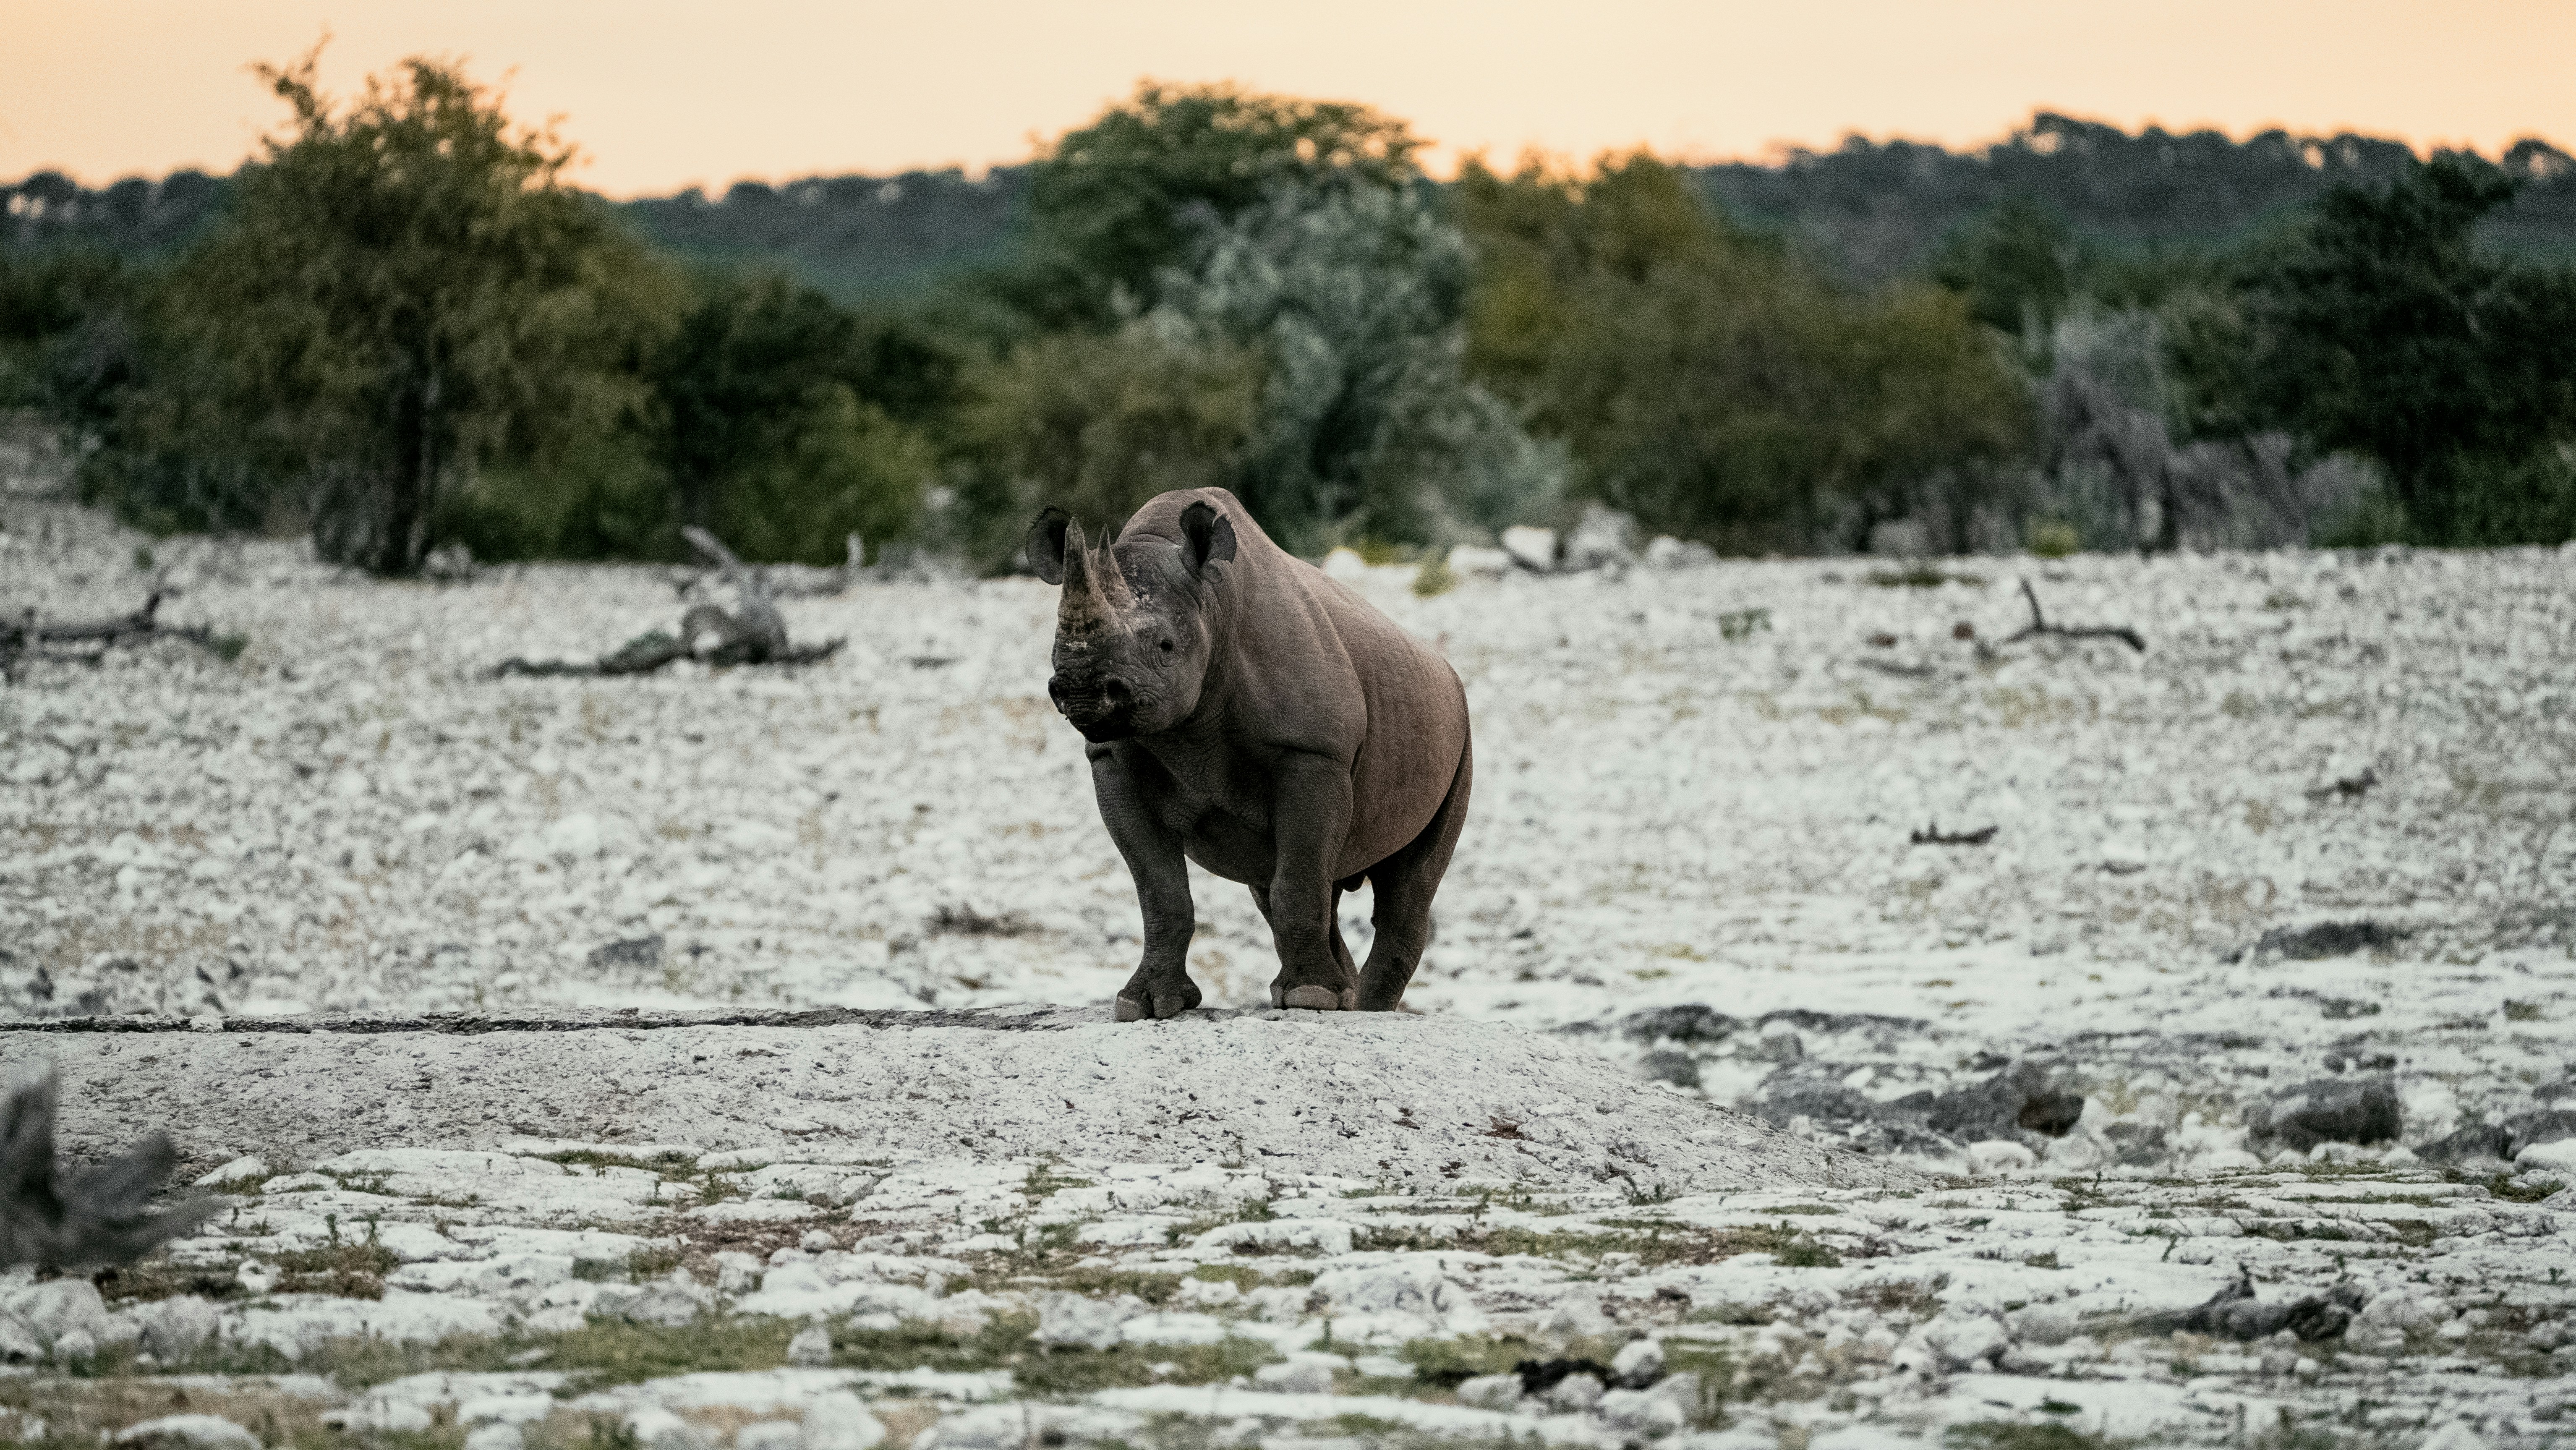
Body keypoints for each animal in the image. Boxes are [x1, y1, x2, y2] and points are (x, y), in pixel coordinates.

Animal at [1030, 488, 1473, 1020]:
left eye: (1166, 646)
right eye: (1056, 646)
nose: (1081, 691)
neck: (1212, 605)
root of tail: (1445, 667)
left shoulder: (1313, 753)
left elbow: (1297, 879)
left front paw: (1310, 997)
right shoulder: (1111, 758)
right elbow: (1159, 889)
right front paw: (1145, 1004)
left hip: (1461, 730)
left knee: (1405, 886)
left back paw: (1362, 1008)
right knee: (1283, 881)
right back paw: (1345, 999)